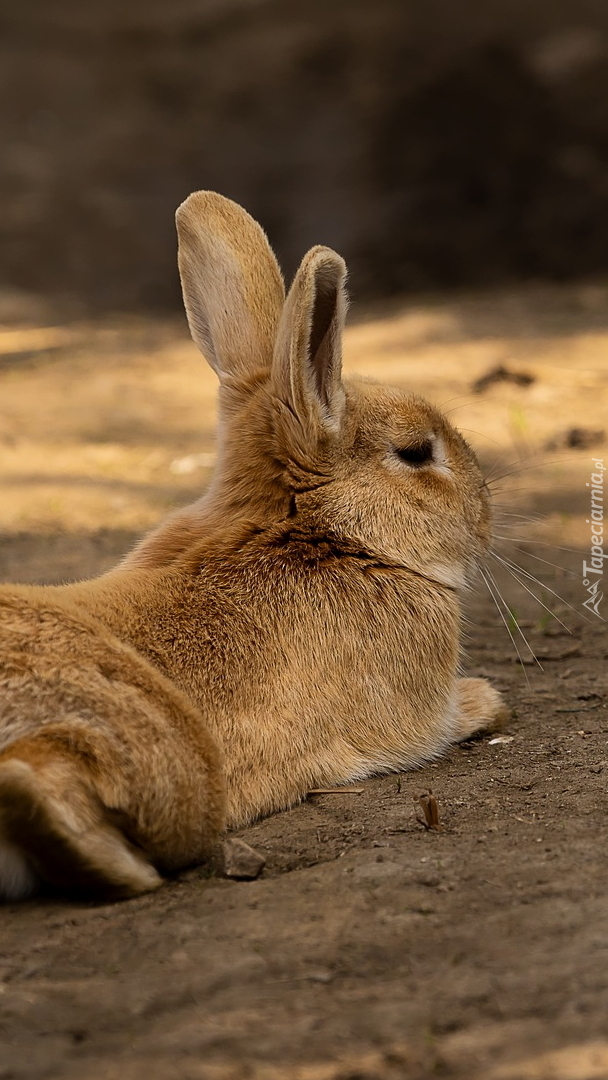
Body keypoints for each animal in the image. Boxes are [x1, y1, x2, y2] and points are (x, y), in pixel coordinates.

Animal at [0, 190, 507, 898]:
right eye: (415, 453)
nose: (485, 512)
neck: (319, 534)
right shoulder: (418, 713)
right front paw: (489, 701)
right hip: (170, 754)